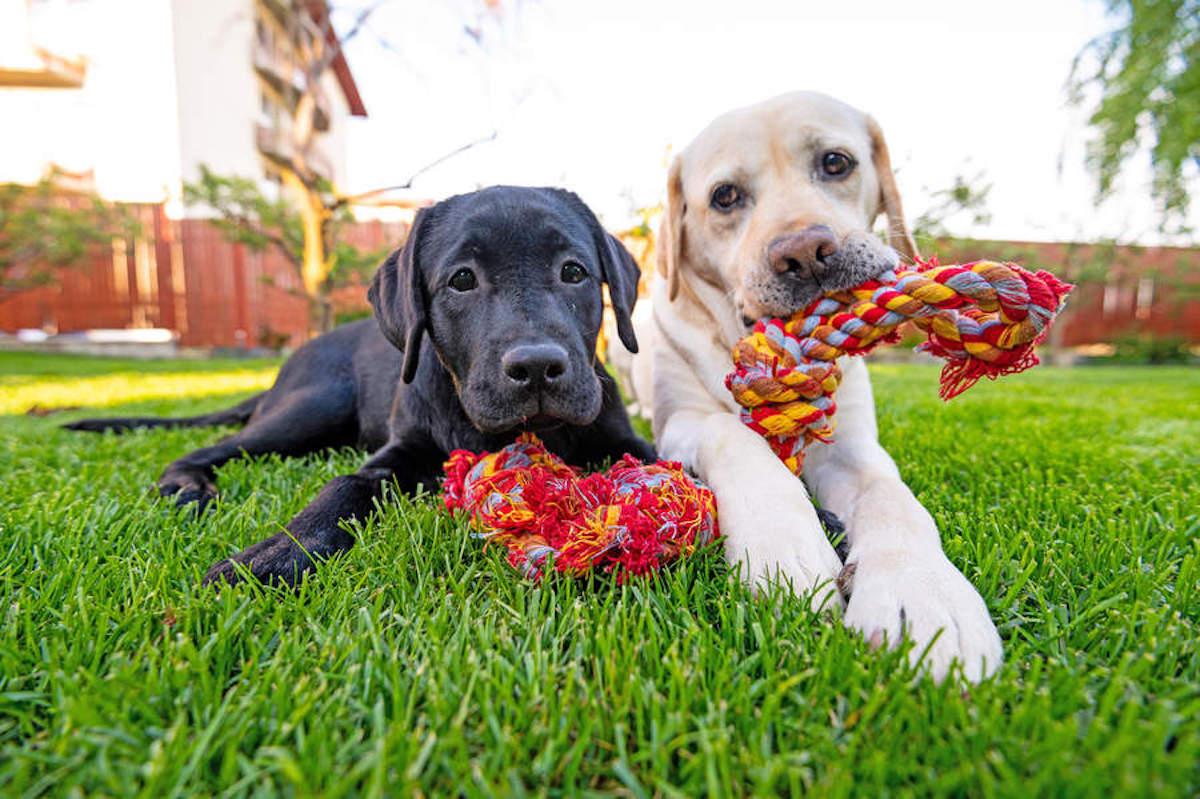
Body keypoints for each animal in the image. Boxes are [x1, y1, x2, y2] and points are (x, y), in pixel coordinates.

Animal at [68, 187, 657, 585]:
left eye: (574, 272)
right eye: (462, 279)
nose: (536, 366)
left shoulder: (624, 438)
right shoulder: (400, 451)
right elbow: (344, 485)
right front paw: (273, 555)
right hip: (313, 406)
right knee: (212, 447)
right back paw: (187, 487)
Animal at [638, 91, 1003, 676]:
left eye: (836, 162)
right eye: (724, 196)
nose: (805, 253)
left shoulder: (850, 445)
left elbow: (892, 497)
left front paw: (925, 594)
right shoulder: (680, 421)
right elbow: (732, 434)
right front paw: (784, 549)